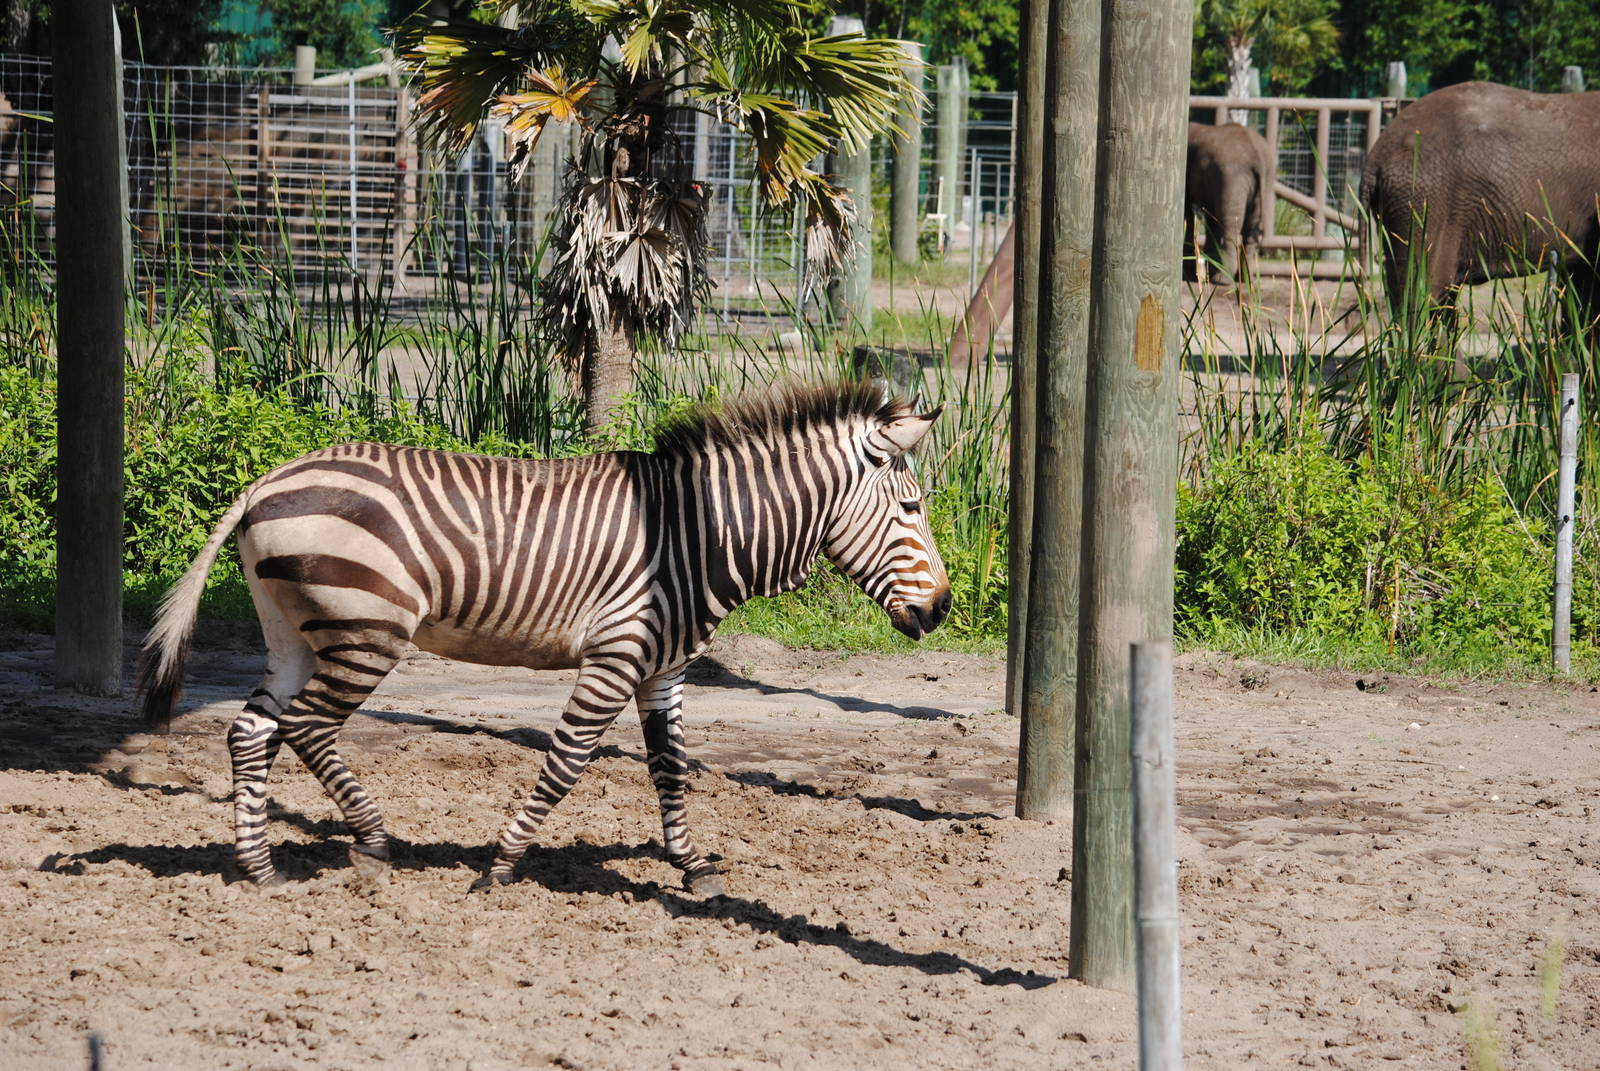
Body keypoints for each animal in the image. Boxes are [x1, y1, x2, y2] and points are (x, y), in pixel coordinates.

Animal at [137, 381, 952, 894]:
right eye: (913, 507)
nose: (943, 609)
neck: (697, 534)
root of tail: (265, 481)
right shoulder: (616, 656)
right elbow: (566, 763)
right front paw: (501, 865)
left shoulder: (664, 669)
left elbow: (671, 768)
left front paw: (693, 867)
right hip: (368, 629)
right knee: (307, 727)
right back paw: (370, 846)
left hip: (296, 631)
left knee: (253, 729)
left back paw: (260, 871)